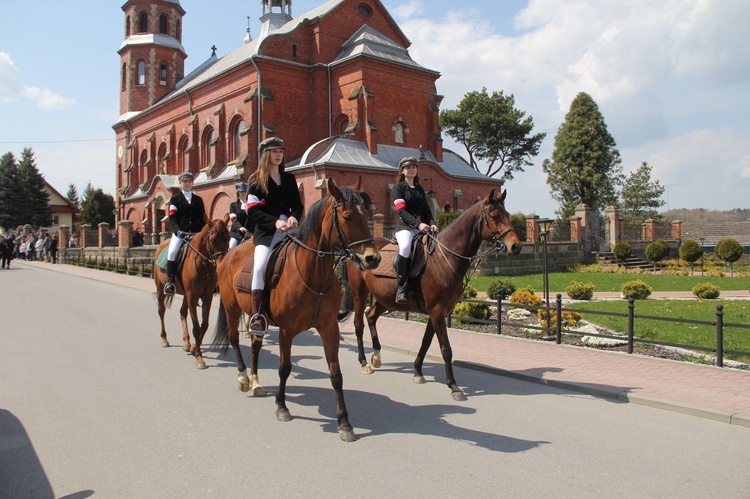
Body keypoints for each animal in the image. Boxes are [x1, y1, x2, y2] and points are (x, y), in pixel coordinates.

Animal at [154, 213, 231, 370]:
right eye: (213, 240)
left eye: (228, 238)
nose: (221, 265)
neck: (204, 266)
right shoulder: (193, 297)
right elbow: (196, 327)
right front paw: (199, 358)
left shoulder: (206, 297)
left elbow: (204, 325)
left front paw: (194, 348)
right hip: (160, 288)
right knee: (161, 311)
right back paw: (164, 339)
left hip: (185, 295)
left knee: (182, 313)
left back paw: (186, 342)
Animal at [214, 179, 384, 442]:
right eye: (347, 216)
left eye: (367, 214)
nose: (372, 258)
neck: (313, 273)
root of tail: (229, 255)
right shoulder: (286, 330)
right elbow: (284, 368)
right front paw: (282, 407)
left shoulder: (329, 328)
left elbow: (335, 374)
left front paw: (344, 423)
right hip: (232, 308)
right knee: (234, 338)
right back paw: (243, 377)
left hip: (255, 316)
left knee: (255, 344)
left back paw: (256, 382)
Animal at [340, 189, 524, 400]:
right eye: (494, 216)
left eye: (507, 214)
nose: (516, 246)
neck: (445, 257)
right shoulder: (437, 311)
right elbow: (446, 349)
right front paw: (453, 386)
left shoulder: (439, 312)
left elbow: (426, 342)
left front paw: (418, 372)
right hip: (359, 293)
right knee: (359, 324)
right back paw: (364, 362)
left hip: (386, 298)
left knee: (370, 316)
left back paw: (376, 356)